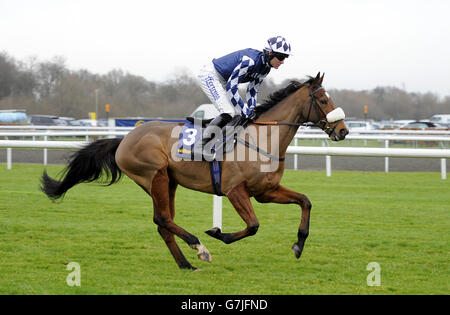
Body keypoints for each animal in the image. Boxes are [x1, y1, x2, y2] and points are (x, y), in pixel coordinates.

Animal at [41, 73, 348, 270]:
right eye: (323, 100)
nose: (343, 131)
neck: (261, 139)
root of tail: (125, 139)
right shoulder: (235, 191)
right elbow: (253, 226)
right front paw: (217, 233)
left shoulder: (266, 191)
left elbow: (305, 201)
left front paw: (298, 245)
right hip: (155, 176)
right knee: (163, 219)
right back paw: (199, 248)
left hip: (168, 183)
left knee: (162, 223)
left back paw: (186, 263)